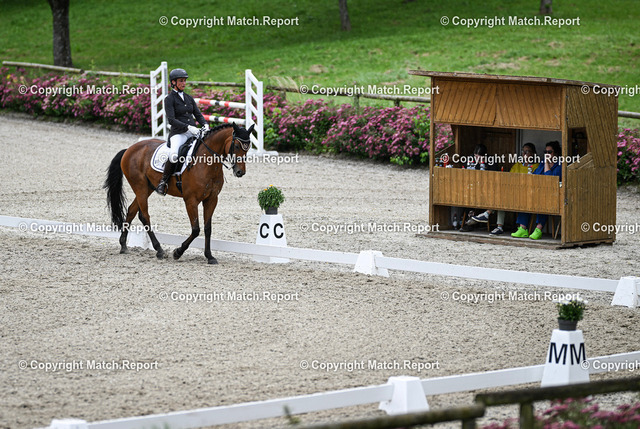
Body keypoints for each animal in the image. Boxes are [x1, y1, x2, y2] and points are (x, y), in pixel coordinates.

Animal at [103, 123, 253, 264]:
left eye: (248, 148)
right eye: (237, 146)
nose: (240, 172)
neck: (207, 163)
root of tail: (129, 149)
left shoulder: (211, 199)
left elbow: (207, 228)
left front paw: (210, 256)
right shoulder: (191, 200)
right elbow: (196, 229)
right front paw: (178, 252)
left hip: (147, 188)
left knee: (131, 211)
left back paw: (123, 245)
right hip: (140, 187)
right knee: (144, 216)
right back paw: (159, 250)